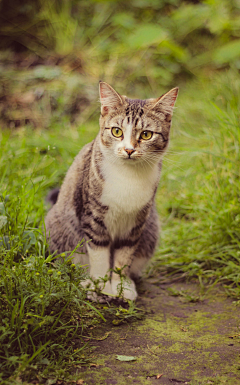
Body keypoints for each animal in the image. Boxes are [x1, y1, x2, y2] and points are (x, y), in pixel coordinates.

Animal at [45, 82, 178, 300]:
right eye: (116, 131)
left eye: (146, 134)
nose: (129, 150)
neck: (128, 176)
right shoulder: (93, 217)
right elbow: (99, 254)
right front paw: (99, 285)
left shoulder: (136, 222)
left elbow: (124, 256)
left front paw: (121, 286)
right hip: (60, 227)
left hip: (151, 227)